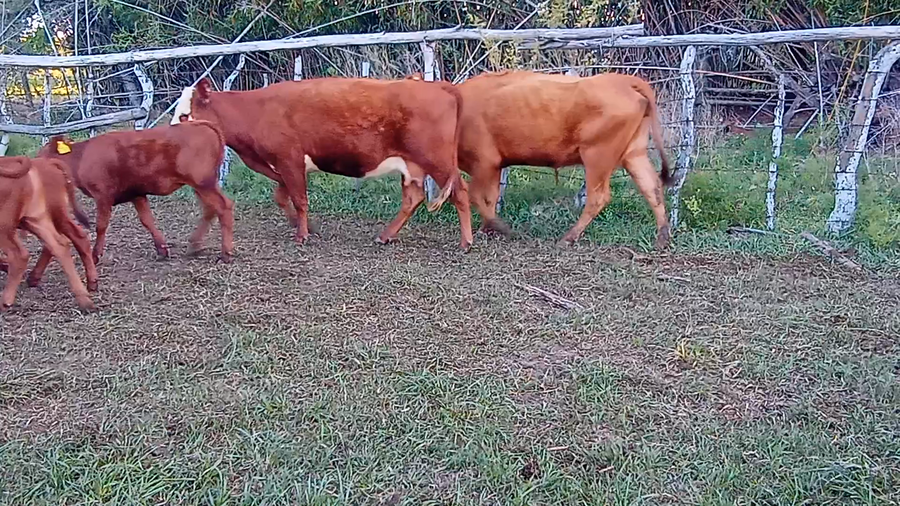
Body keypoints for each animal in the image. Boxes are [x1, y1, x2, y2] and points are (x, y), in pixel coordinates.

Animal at [0, 156, 98, 313]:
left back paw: (6, 301)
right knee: (61, 244)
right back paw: (85, 297)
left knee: (20, 255)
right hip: (36, 219)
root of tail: (47, 162)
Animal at [31, 120, 235, 283]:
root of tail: (201, 124)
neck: (81, 156)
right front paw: (162, 249)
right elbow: (147, 220)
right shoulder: (137, 195)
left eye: (42, 155)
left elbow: (101, 225)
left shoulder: (103, 196)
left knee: (223, 207)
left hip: (203, 184)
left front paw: (96, 255)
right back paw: (194, 245)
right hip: (202, 185)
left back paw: (225, 253)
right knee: (210, 209)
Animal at [170, 76, 474, 250]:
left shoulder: (289, 159)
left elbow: (299, 199)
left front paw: (302, 234)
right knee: (413, 199)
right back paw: (385, 236)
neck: (256, 111)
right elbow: (282, 196)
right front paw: (305, 227)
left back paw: (465, 242)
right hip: (412, 166)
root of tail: (438, 85)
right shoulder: (282, 165)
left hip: (438, 161)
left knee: (460, 191)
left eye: (185, 114)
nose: (172, 136)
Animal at [408, 70, 674, 250]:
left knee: (599, 197)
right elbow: (490, 197)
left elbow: (476, 195)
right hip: (634, 153)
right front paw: (488, 228)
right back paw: (662, 238)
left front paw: (498, 227)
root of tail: (623, 80)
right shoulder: (494, 166)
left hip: (597, 155)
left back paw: (568, 237)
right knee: (652, 187)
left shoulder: (485, 162)